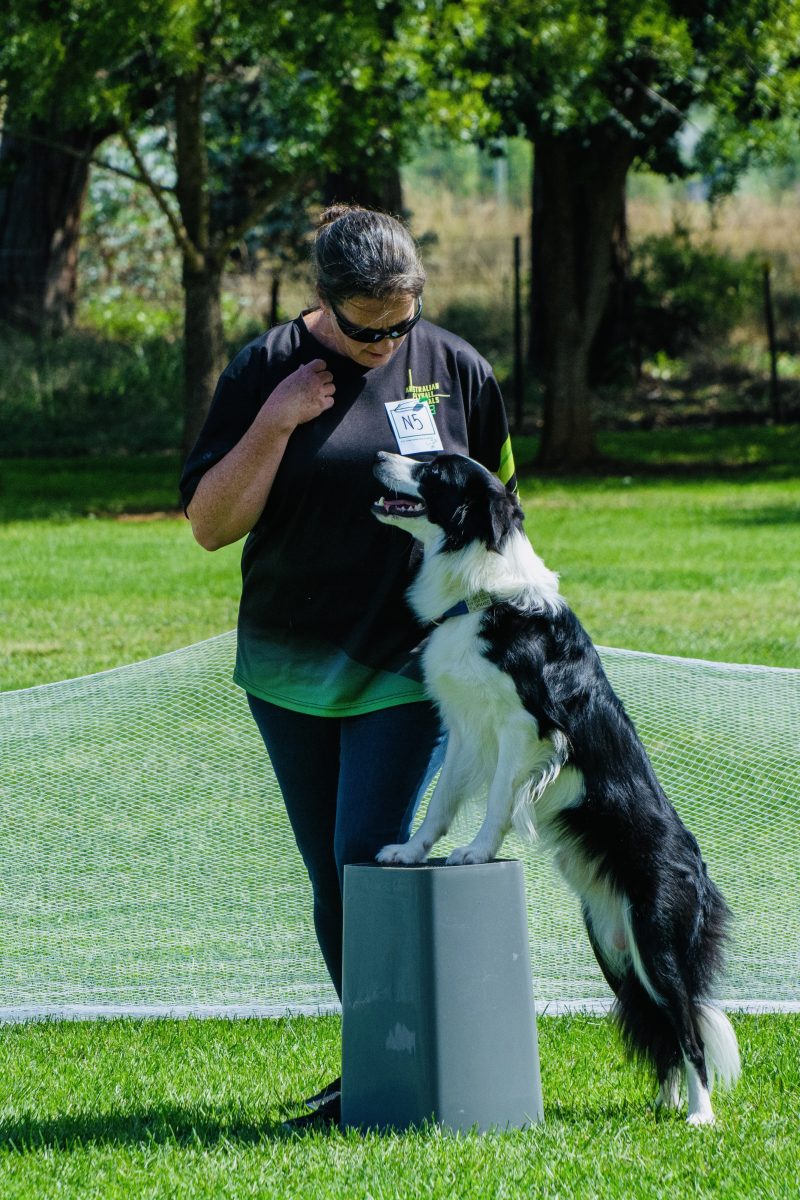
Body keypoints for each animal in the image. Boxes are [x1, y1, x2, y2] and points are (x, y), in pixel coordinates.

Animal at [371, 451, 743, 1123]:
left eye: (434, 469)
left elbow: (495, 803)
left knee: (686, 1025)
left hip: (656, 938)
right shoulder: (464, 729)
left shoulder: (526, 727)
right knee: (659, 1027)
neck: (479, 593)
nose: (379, 456)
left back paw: (699, 1115)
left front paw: (474, 854)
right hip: (613, 947)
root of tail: (699, 868)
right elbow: (439, 803)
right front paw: (410, 853)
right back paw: (663, 1106)